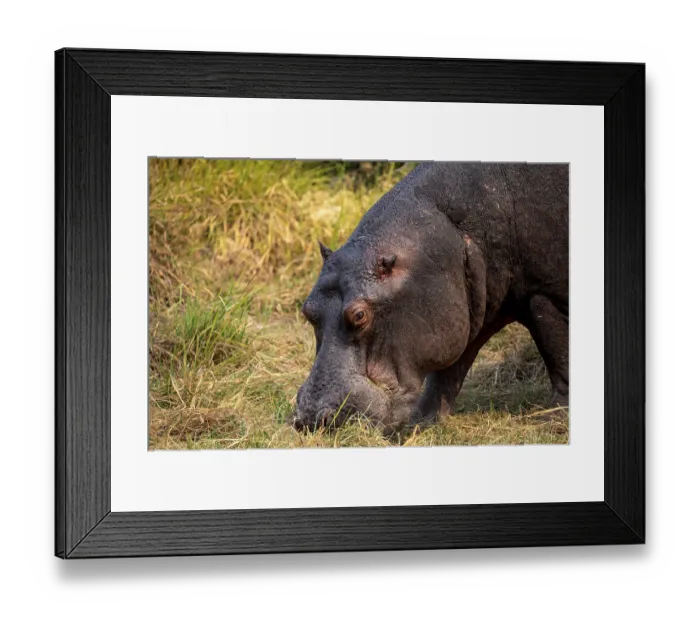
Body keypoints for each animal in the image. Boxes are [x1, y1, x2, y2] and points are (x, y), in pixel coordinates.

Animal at [293, 162, 569, 433]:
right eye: (307, 310)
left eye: (359, 315)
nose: (310, 419)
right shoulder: (463, 314)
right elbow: (447, 373)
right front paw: (420, 424)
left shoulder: (544, 296)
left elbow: (559, 357)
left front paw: (552, 420)